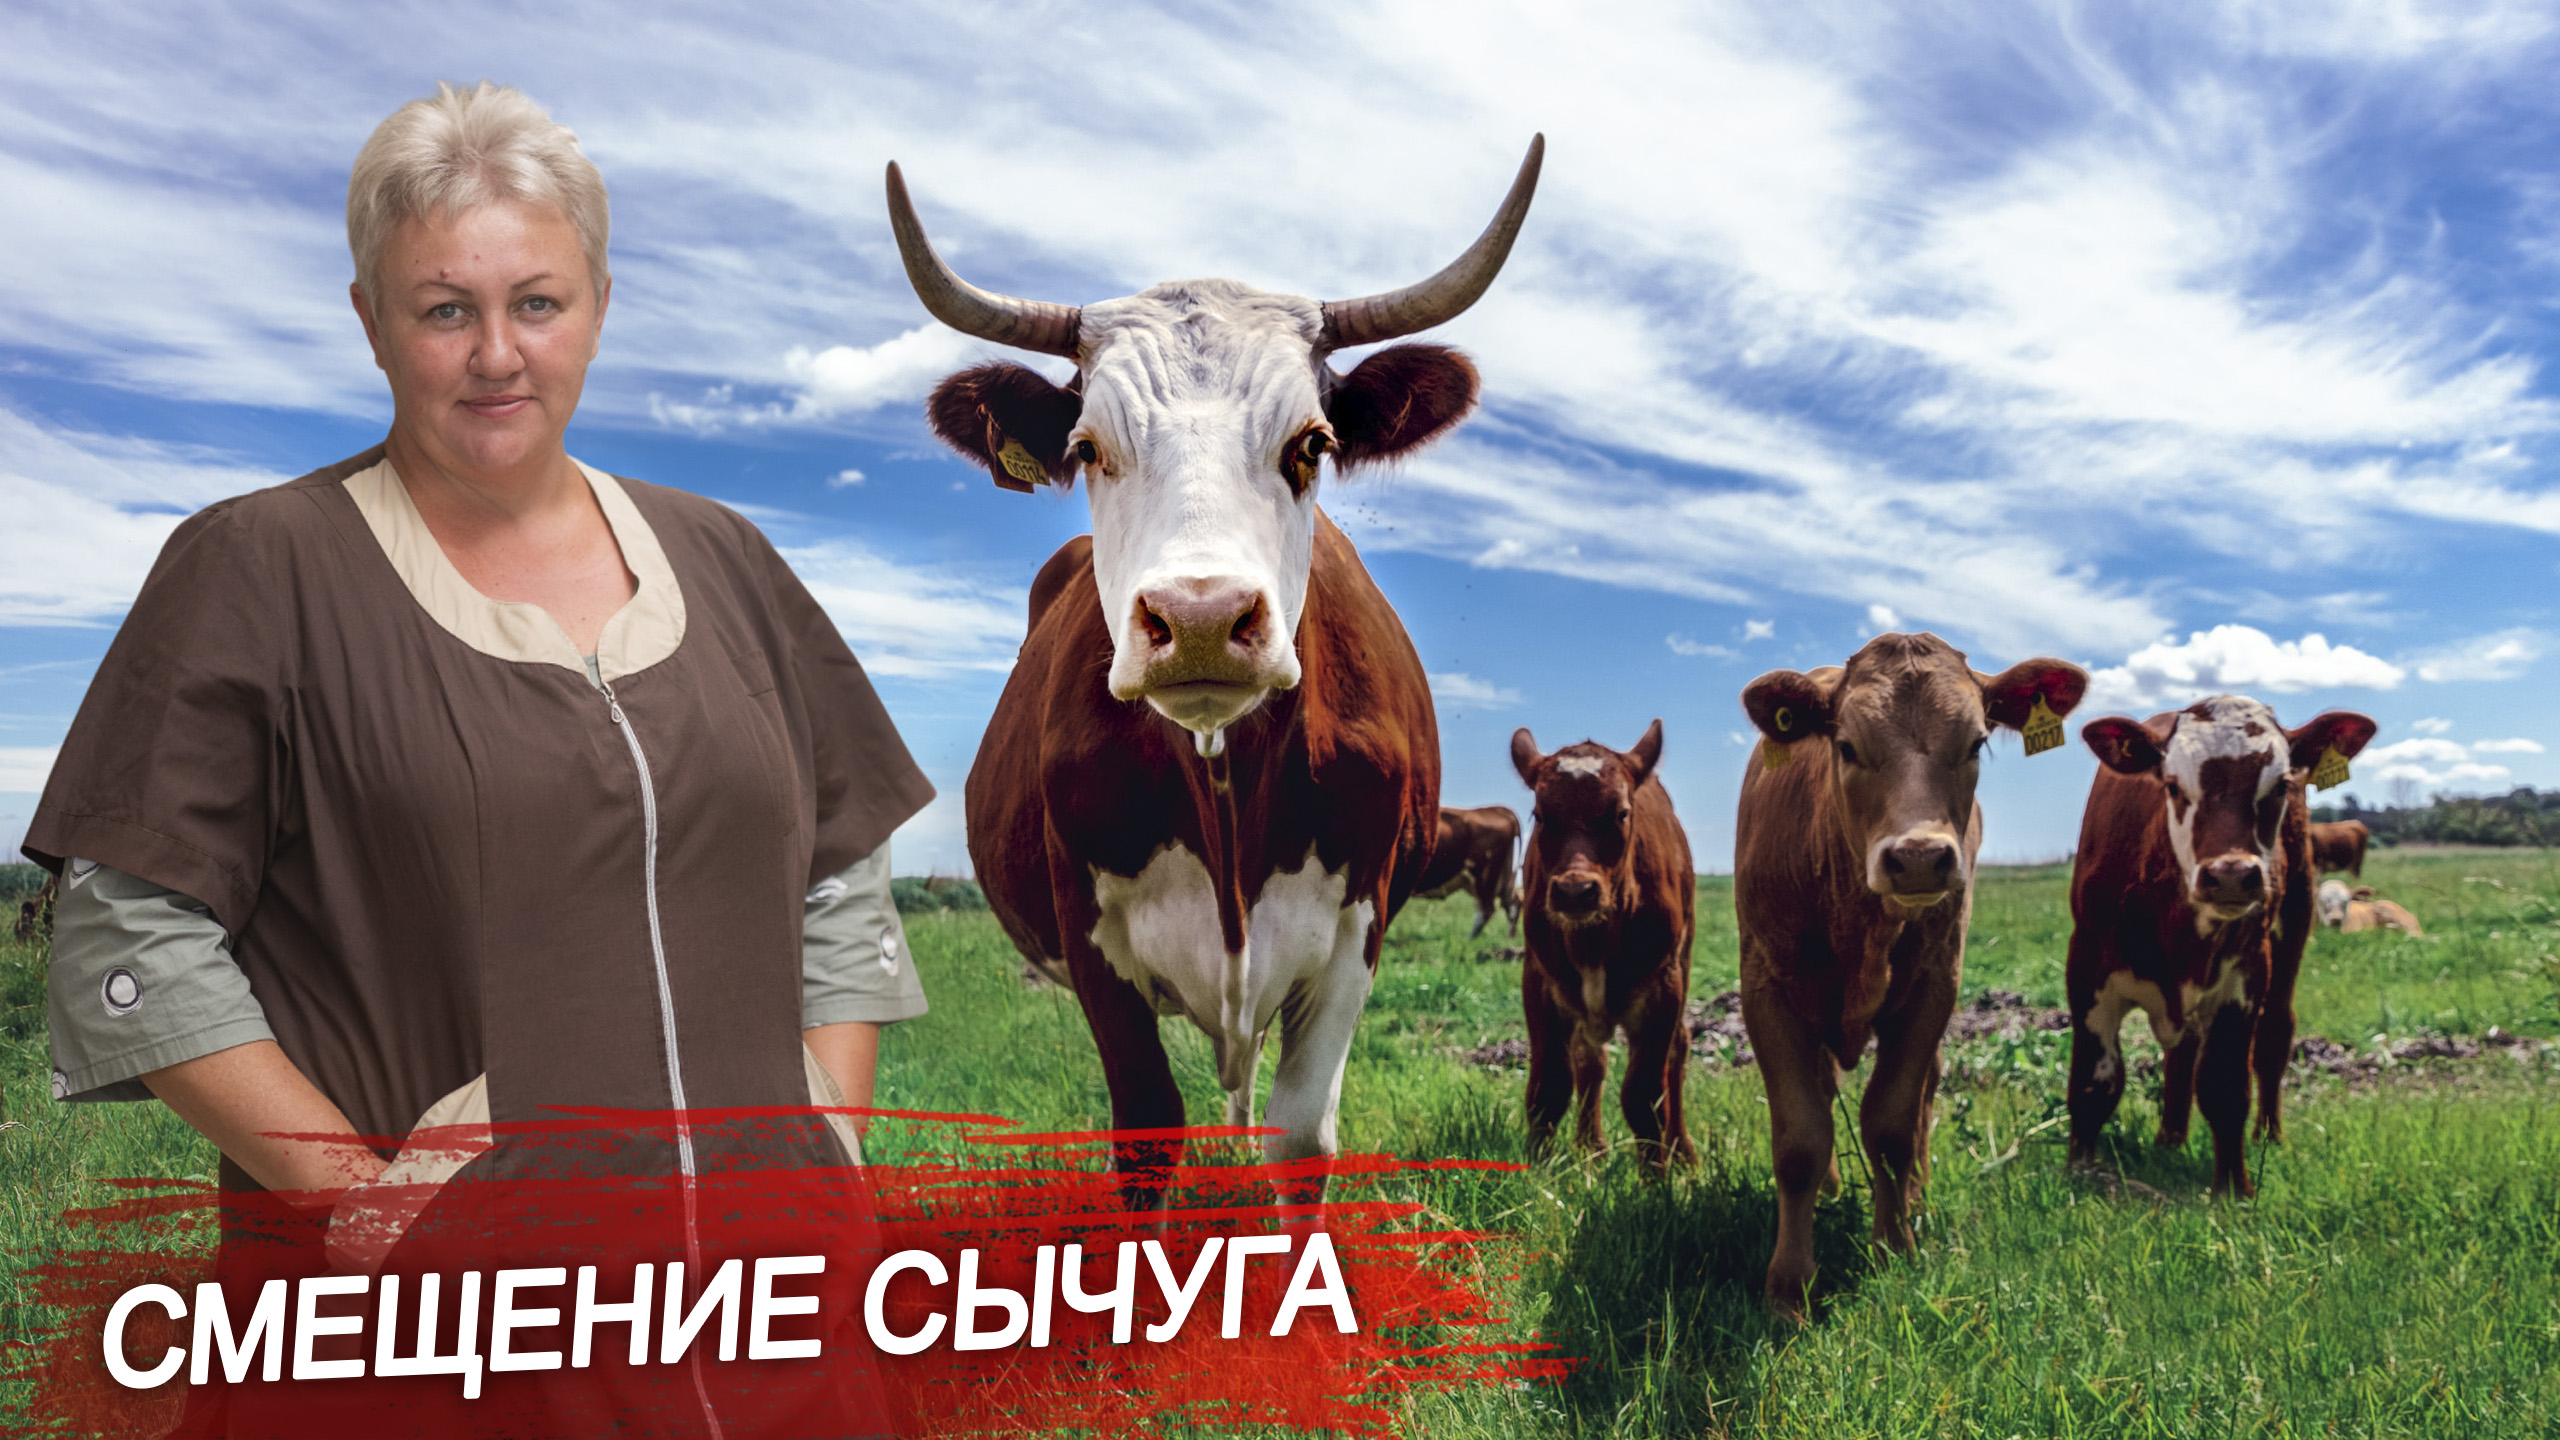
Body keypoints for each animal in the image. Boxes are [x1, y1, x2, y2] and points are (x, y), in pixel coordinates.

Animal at [1414, 804, 1522, 938]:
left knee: (1486, 909)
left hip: (1485, 876)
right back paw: (1509, 937)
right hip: (1502, 875)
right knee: (1512, 901)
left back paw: (1467, 939)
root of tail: (1499, 809)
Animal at [1510, 721, 1695, 1170]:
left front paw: (1655, 1178)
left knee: (1679, 1049)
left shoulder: (1664, 987)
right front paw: (1538, 1172)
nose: (1575, 891)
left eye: (1621, 813)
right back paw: (1589, 1147)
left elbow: (1645, 1097)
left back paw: (1682, 1151)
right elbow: (1548, 1088)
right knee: (1589, 1061)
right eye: (1541, 815)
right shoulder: (1538, 981)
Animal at [1735, 634, 2089, 1317]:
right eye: (1846, 745)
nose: (1920, 858)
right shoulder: (1766, 987)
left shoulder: (1933, 986)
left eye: (1975, 743)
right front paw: (1788, 1286)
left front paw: (1894, 1247)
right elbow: (1800, 1138)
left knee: (1925, 1095)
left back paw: (1916, 1198)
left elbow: (1893, 1124)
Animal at [2067, 696, 2377, 1196]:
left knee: (2273, 1036)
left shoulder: (2244, 976)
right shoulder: (2087, 966)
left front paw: (2234, 1188)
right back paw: (2170, 1138)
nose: (2231, 874)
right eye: (2173, 785)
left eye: (2280, 785)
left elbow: (2225, 1087)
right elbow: (2096, 1082)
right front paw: (2081, 1170)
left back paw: (2268, 1134)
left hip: (2293, 926)